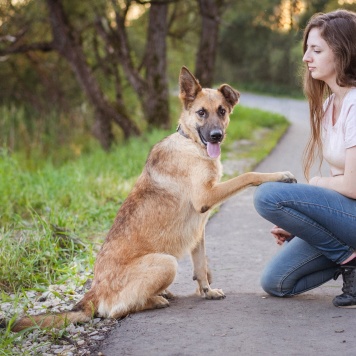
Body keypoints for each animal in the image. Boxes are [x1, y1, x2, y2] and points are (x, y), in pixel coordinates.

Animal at [9, 66, 296, 330]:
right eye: (202, 112)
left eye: (222, 111)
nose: (217, 136)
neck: (190, 143)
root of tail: (94, 292)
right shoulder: (206, 196)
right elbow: (249, 174)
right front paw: (280, 175)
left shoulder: (199, 230)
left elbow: (201, 266)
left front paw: (206, 292)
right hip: (167, 262)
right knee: (116, 311)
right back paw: (156, 299)